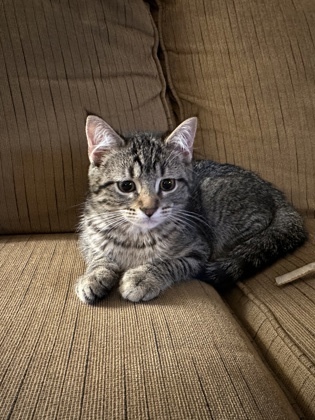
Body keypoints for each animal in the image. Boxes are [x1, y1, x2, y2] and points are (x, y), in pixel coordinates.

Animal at [75, 116, 308, 304]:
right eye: (126, 186)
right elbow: (98, 256)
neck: (135, 237)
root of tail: (272, 190)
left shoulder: (199, 250)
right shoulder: (88, 236)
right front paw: (94, 276)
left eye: (167, 184)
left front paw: (143, 277)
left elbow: (170, 263)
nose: (149, 209)